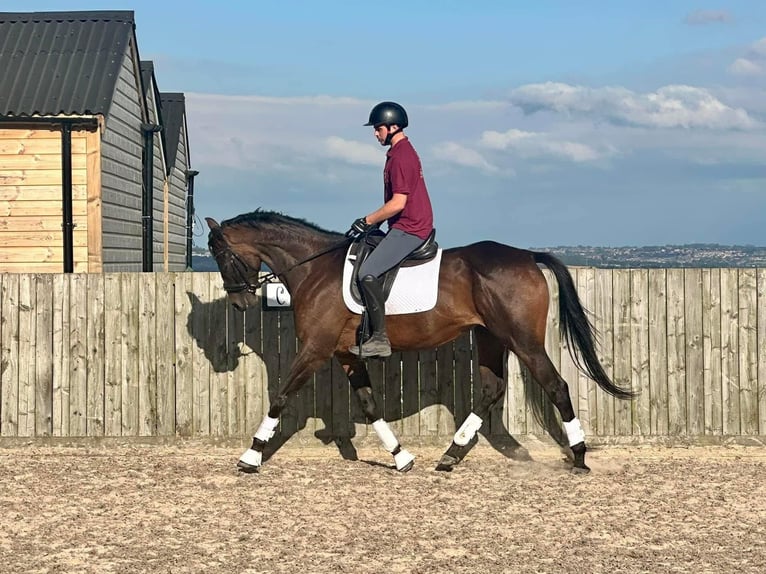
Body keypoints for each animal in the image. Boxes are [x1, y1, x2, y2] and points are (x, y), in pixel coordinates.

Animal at [206, 212, 636, 476]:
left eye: (220, 253)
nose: (240, 302)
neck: (314, 267)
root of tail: (527, 257)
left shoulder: (315, 349)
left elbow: (280, 396)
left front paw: (250, 456)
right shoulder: (345, 353)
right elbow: (369, 404)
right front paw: (402, 457)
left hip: (523, 340)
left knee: (555, 386)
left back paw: (578, 456)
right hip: (490, 337)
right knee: (491, 388)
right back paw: (450, 455)